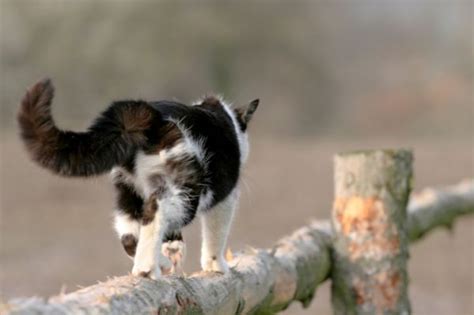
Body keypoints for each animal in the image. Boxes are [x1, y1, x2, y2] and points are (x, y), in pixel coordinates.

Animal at [17, 78, 260, 278]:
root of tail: (150, 116)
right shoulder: (225, 198)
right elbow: (216, 234)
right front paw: (216, 267)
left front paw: (173, 250)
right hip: (187, 190)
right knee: (155, 210)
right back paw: (147, 267)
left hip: (128, 189)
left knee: (129, 233)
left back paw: (159, 263)